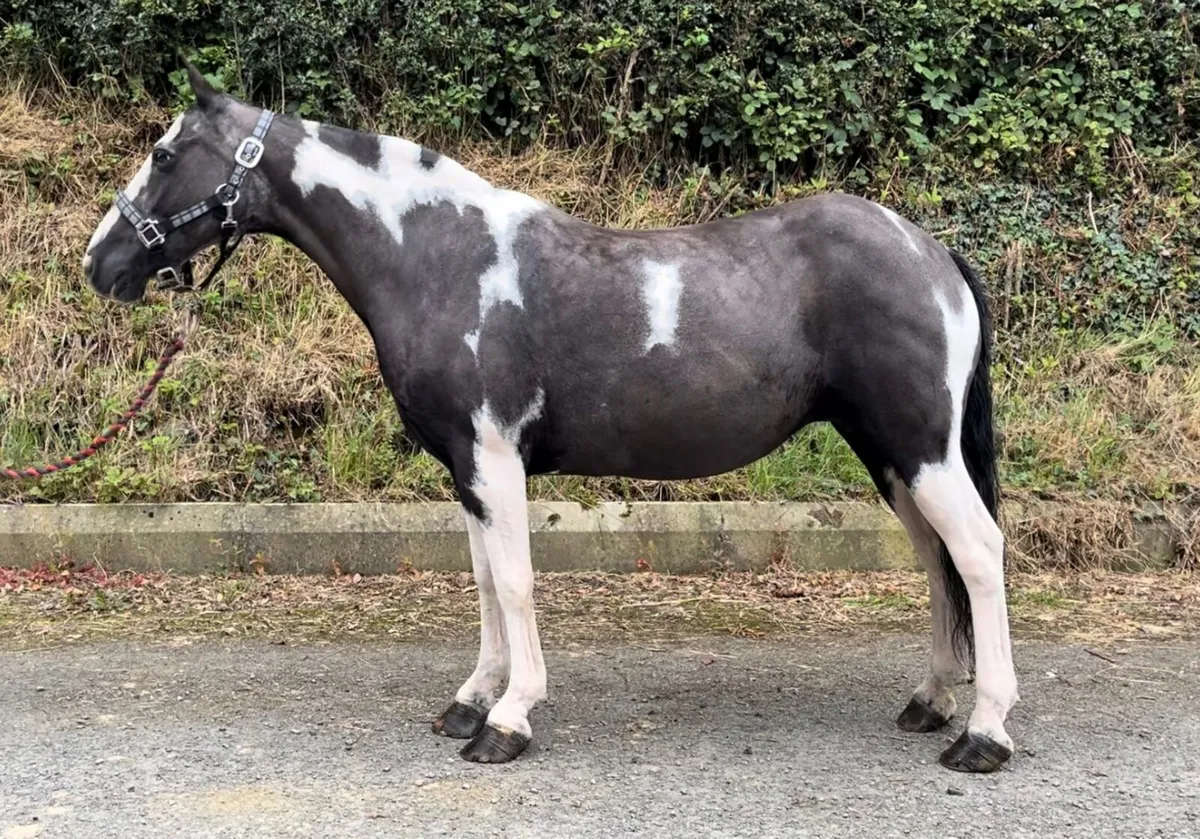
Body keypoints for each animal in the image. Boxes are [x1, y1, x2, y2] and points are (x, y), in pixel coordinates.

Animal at [83, 64, 1018, 772]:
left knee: (976, 552)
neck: (439, 259)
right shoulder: (465, 467)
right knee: (937, 561)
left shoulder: (494, 457)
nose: (100, 263)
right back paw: (932, 699)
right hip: (892, 455)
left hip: (922, 451)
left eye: (164, 154)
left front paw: (508, 719)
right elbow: (485, 582)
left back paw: (984, 732)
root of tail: (929, 251)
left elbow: (517, 581)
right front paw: (471, 700)